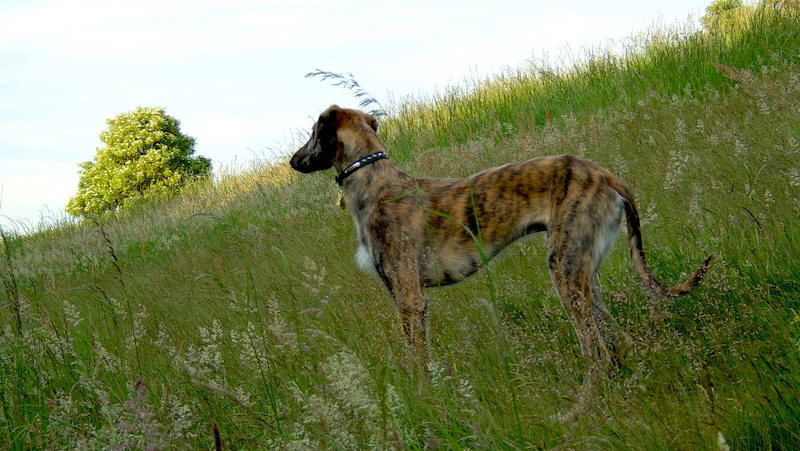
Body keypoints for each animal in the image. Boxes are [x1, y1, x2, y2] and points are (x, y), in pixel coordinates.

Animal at [290, 105, 712, 414]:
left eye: (312, 130)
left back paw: (579, 408)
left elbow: (417, 361)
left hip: (565, 273)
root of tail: (606, 174)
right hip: (583, 272)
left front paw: (422, 402)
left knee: (597, 353)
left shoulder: (410, 299)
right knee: (618, 340)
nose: (292, 161)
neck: (376, 180)